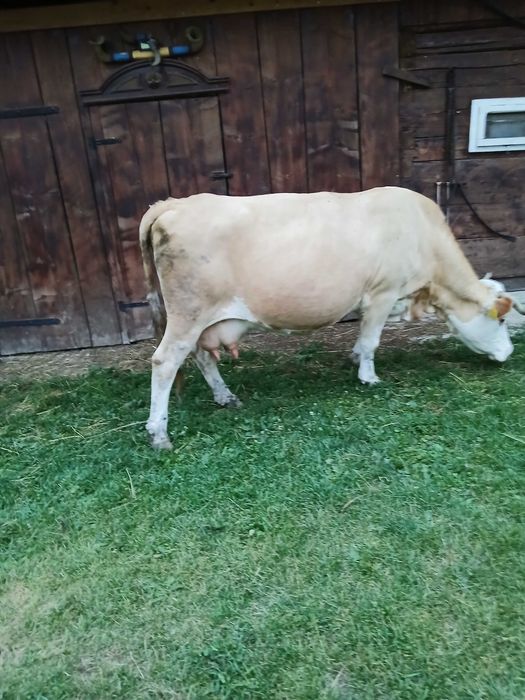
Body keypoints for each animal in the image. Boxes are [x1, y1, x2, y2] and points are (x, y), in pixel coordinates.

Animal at [139, 187, 523, 449]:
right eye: (501, 321)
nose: (509, 353)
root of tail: (175, 203)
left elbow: (362, 338)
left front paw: (354, 359)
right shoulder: (382, 292)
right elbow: (372, 340)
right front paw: (369, 377)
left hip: (201, 319)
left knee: (202, 357)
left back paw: (225, 397)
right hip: (188, 311)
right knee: (165, 362)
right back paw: (159, 433)